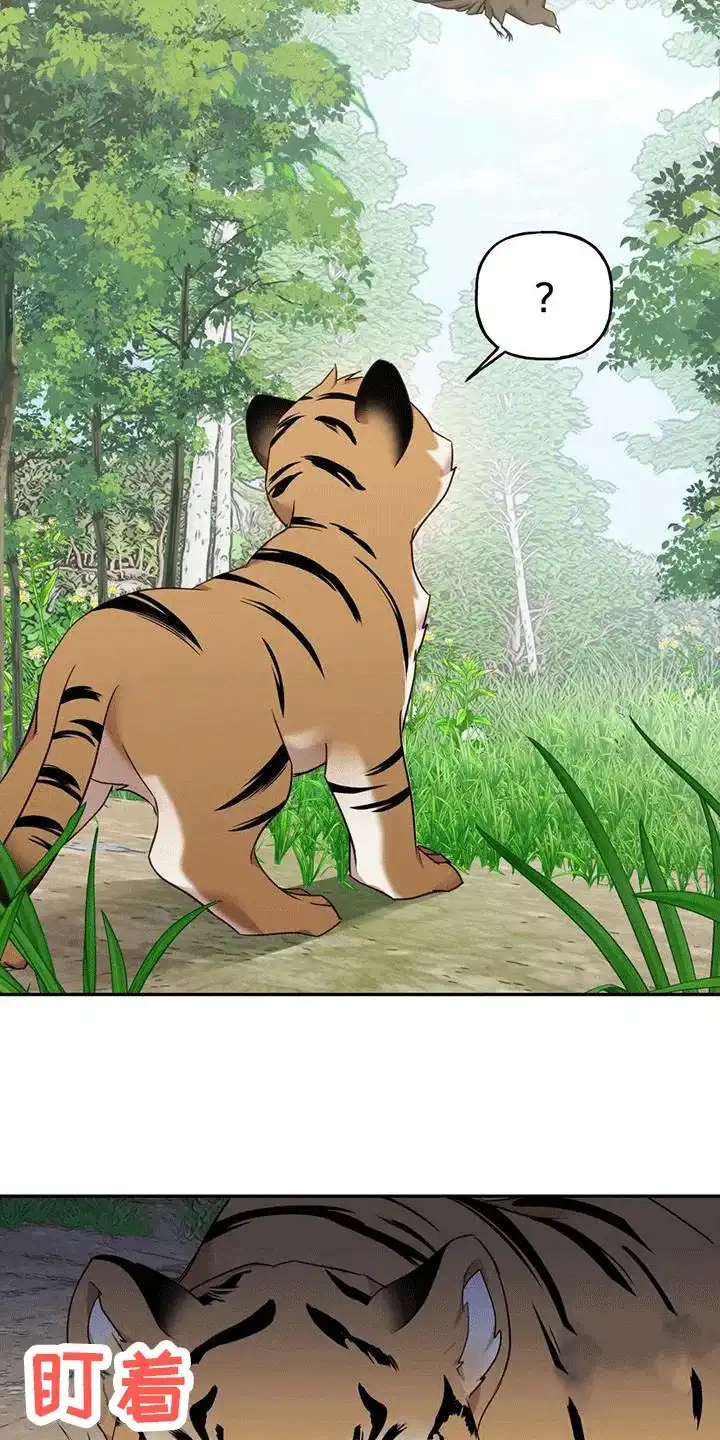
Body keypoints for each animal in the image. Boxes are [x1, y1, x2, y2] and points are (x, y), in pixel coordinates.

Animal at [0, 359, 463, 968]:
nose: (448, 441)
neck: (330, 515)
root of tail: (96, 644)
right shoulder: (372, 729)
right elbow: (384, 812)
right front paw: (414, 880)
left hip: (54, 757)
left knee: (18, 838)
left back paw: (15, 953)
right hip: (250, 768)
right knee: (191, 856)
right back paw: (294, 913)